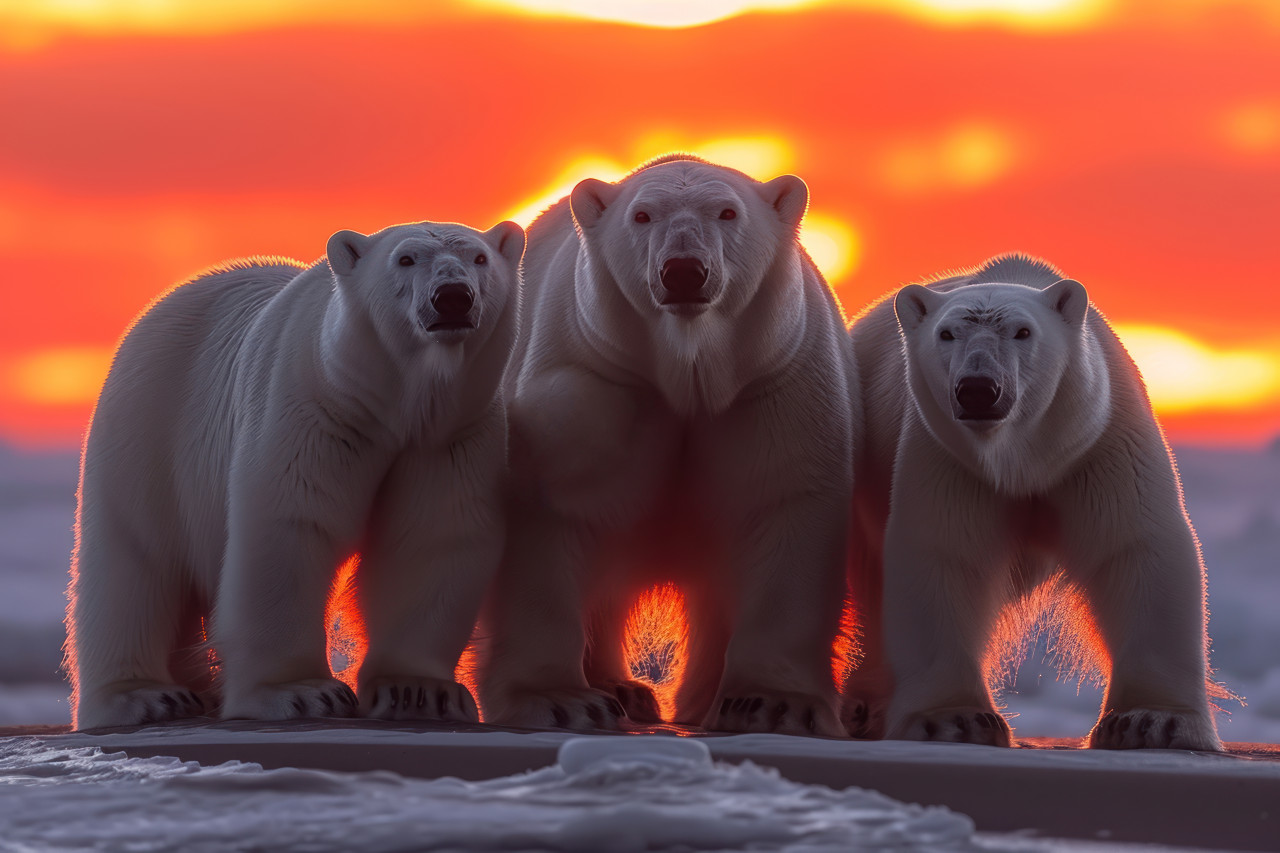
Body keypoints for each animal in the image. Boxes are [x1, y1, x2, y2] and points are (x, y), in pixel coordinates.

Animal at [66, 219, 524, 730]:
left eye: (479, 258)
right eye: (406, 259)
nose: (452, 297)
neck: (393, 405)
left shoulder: (450, 436)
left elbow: (431, 536)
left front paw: (419, 692)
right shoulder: (313, 409)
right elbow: (291, 526)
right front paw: (302, 693)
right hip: (148, 428)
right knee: (133, 562)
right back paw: (145, 696)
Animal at [476, 155, 856, 736]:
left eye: (727, 211)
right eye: (642, 215)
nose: (683, 271)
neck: (685, 370)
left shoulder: (772, 382)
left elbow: (784, 505)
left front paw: (773, 702)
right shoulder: (598, 379)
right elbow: (558, 512)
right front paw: (560, 700)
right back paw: (620, 690)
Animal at [842, 253, 1221, 750]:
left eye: (1023, 332)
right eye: (947, 333)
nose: (978, 389)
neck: (1024, 458)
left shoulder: (1099, 443)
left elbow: (1133, 550)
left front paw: (1151, 722)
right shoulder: (949, 458)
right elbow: (945, 556)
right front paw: (956, 720)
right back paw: (863, 705)